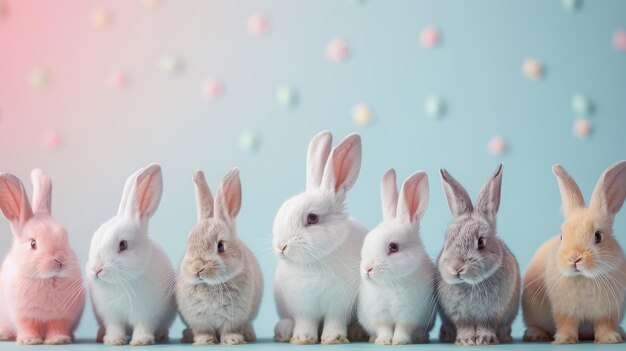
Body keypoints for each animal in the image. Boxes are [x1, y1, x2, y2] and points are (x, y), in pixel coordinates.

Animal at [0, 169, 85, 346]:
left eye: (66, 237)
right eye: (33, 243)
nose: (59, 260)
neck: (47, 279)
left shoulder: (61, 316)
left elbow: (57, 327)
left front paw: (57, 340)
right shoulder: (25, 315)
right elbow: (28, 326)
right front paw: (29, 340)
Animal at [84, 165, 177, 346]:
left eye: (123, 245)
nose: (96, 270)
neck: (120, 284)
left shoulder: (146, 313)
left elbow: (143, 326)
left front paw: (140, 341)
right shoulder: (111, 315)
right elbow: (115, 328)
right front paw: (113, 340)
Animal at [272, 131, 366, 346]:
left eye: (312, 218)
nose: (281, 246)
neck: (315, 262)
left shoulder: (338, 304)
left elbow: (334, 320)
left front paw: (334, 338)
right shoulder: (303, 306)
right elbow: (305, 322)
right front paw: (302, 338)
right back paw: (284, 331)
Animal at [356, 169, 434, 346]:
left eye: (394, 247)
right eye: (367, 240)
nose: (367, 269)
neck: (390, 284)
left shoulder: (409, 314)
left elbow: (402, 328)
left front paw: (399, 341)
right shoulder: (379, 314)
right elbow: (383, 328)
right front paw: (383, 341)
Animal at [434, 166, 516, 346]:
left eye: (481, 242)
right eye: (447, 240)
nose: (457, 267)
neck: (471, 284)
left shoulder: (492, 313)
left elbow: (487, 325)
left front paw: (486, 339)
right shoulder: (459, 315)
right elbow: (464, 326)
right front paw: (466, 340)